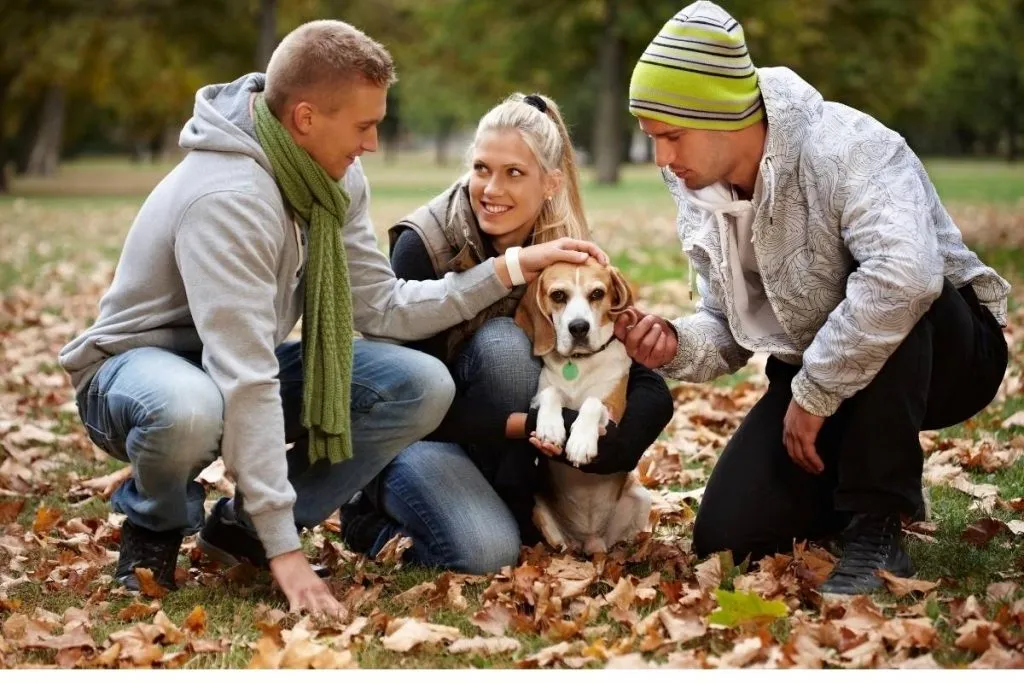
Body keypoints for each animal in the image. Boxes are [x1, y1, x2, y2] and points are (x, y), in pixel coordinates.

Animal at [516, 258, 651, 557]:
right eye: (558, 296)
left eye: (597, 294)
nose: (579, 327)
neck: (577, 364)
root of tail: (590, 540)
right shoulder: (538, 396)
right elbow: (552, 392)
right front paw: (550, 429)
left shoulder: (614, 411)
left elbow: (591, 403)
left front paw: (580, 443)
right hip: (538, 508)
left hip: (641, 497)